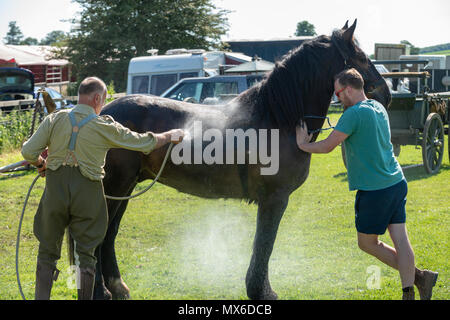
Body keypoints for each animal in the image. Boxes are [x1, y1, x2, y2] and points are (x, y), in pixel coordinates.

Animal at [90, 20, 390, 300]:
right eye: (360, 57)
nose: (384, 93)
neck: (277, 117)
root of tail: (101, 115)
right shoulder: (274, 198)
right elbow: (264, 244)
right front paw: (260, 291)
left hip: (126, 188)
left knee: (109, 235)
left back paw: (118, 288)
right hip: (115, 187)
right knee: (100, 237)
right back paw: (101, 291)